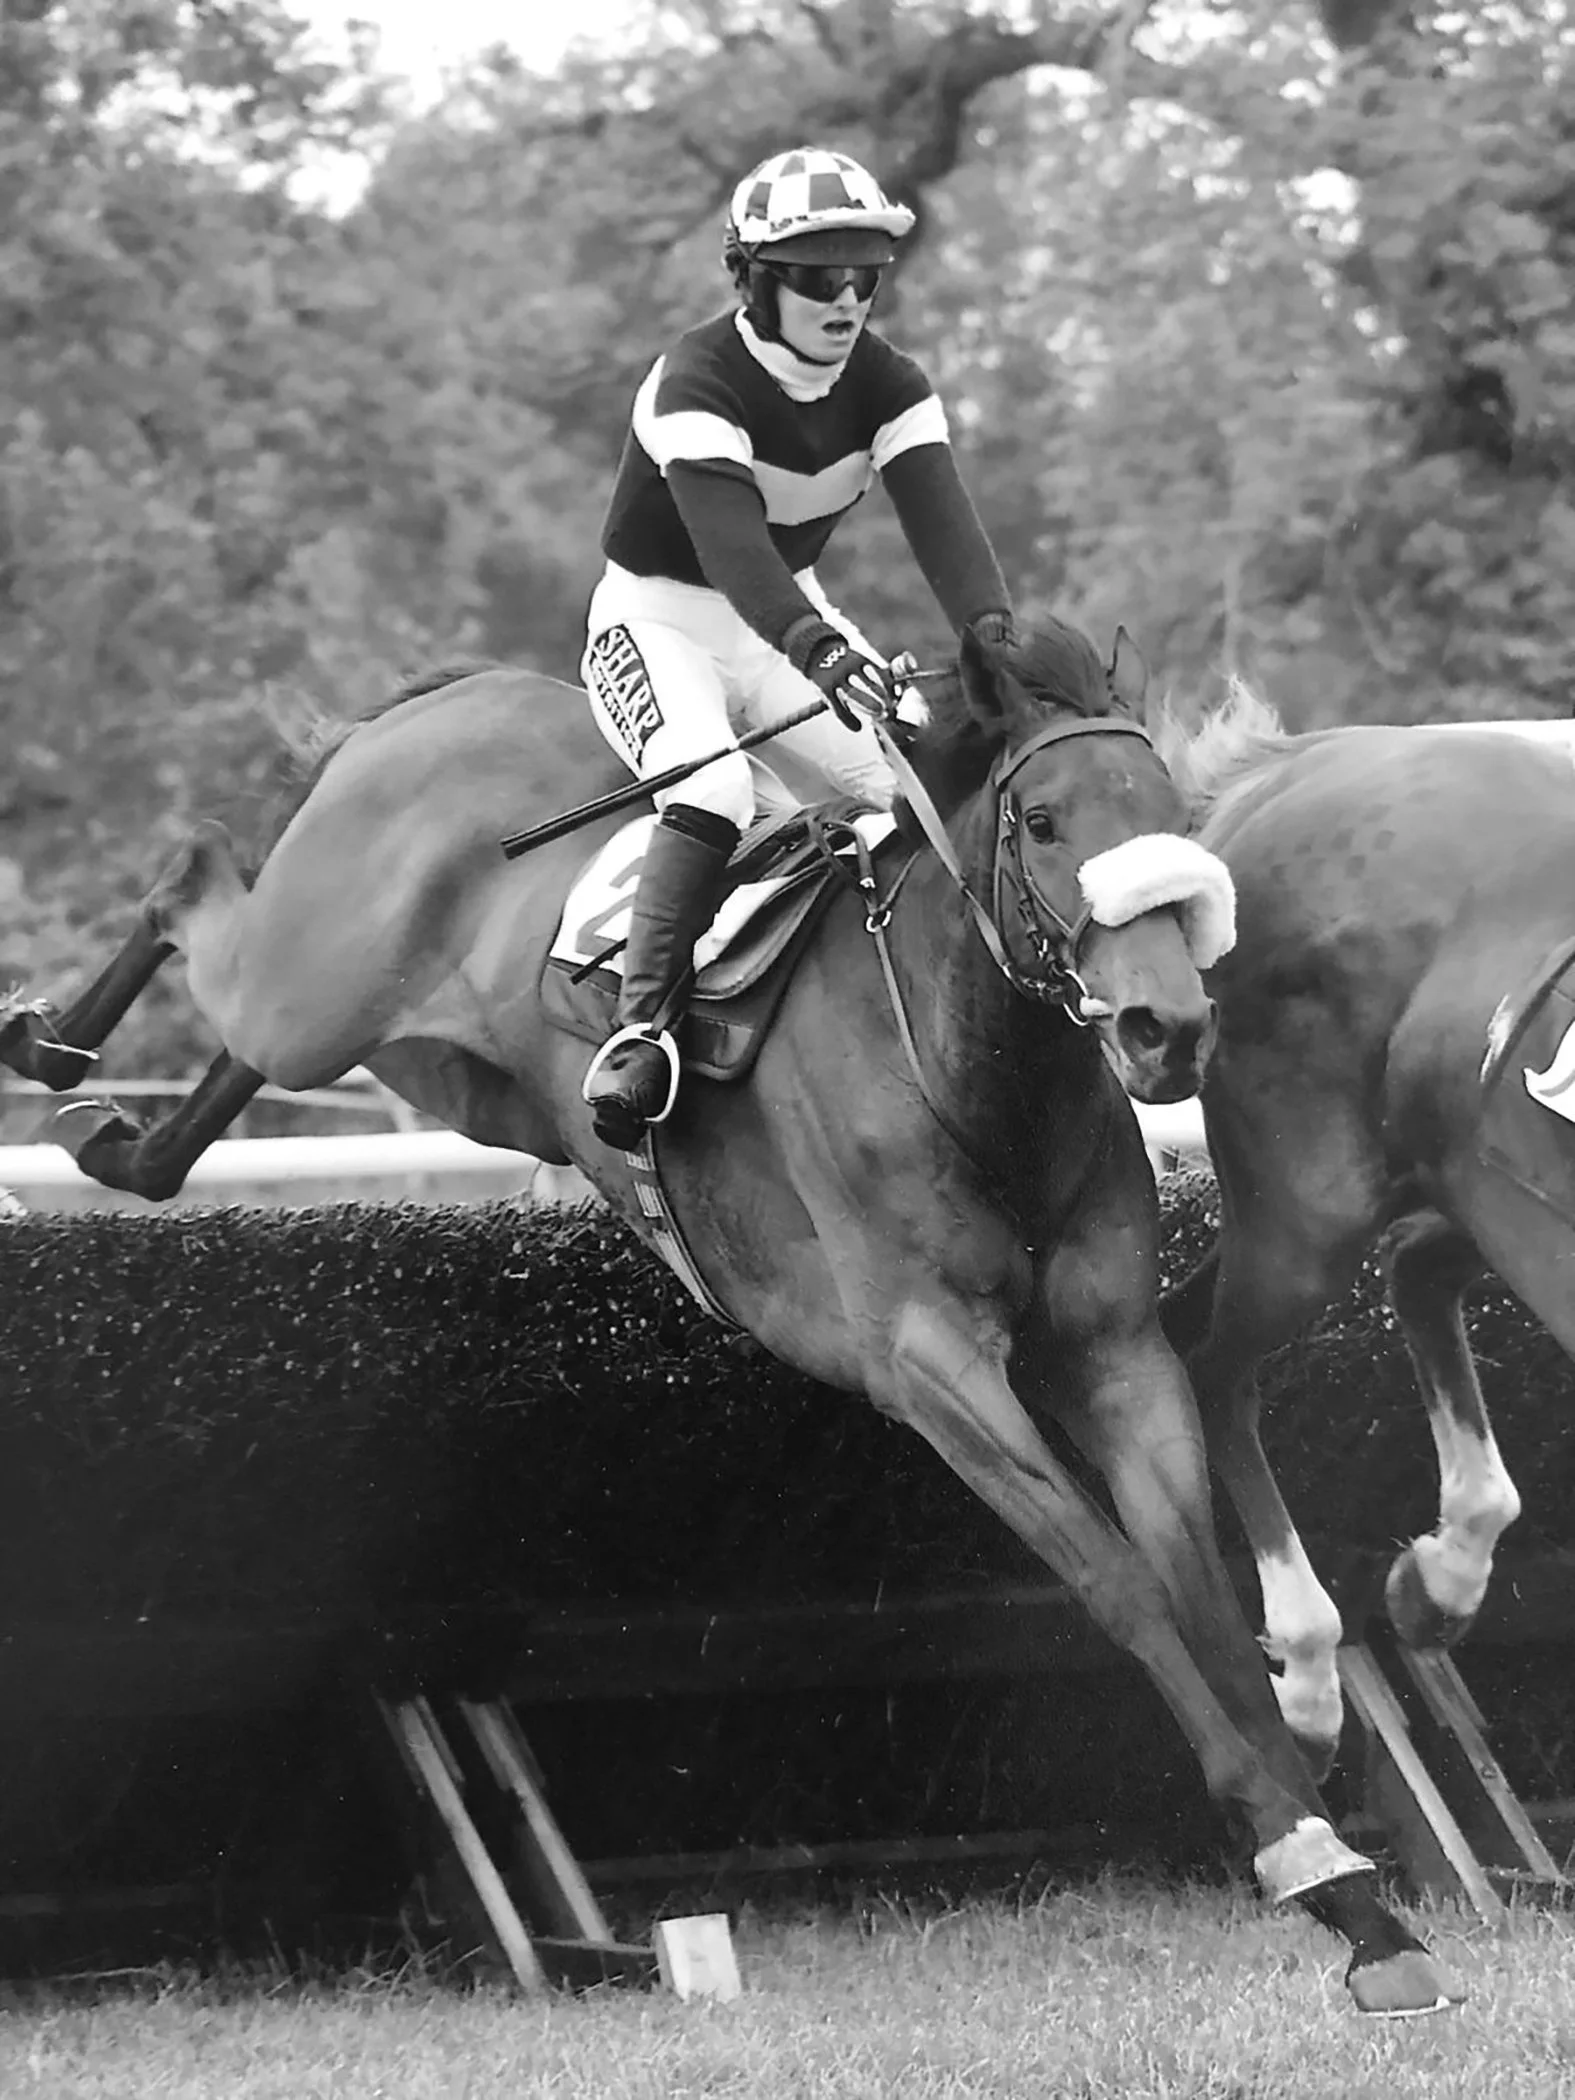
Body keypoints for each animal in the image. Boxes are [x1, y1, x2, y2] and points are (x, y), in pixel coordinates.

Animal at [0, 619, 1457, 2015]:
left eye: (1165, 811)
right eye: (1043, 824)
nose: (1166, 1028)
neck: (965, 1066)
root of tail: (453, 698)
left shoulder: (1114, 1352)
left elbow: (1194, 1578)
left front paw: (1353, 1896)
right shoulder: (929, 1369)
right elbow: (1117, 1583)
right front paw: (1294, 1846)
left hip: (444, 1072)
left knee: (191, 1103)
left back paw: (108, 1125)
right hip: (314, 988)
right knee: (194, 878)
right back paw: (48, 1040)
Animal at [1155, 681, 1575, 1773]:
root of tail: (1276, 771)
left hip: (1466, 1184)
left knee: (1414, 1273)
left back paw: (1439, 1579)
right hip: (1307, 1210)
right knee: (1213, 1373)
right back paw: (1307, 1677)